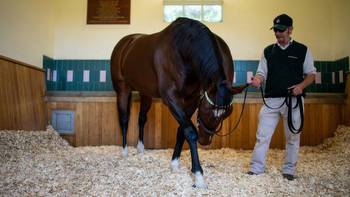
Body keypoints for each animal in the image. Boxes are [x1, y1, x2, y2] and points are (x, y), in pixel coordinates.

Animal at [110, 17, 247, 189]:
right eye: (206, 110)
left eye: (226, 115)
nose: (205, 140)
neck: (183, 51)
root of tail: (125, 43)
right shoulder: (171, 98)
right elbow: (190, 131)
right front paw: (198, 176)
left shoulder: (192, 99)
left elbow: (182, 130)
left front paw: (175, 164)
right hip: (122, 89)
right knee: (124, 119)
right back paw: (125, 152)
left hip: (145, 92)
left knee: (141, 118)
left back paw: (140, 149)